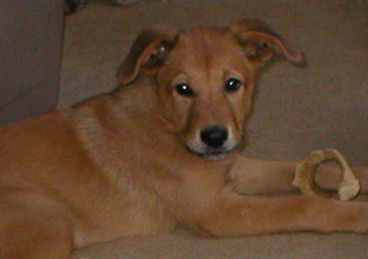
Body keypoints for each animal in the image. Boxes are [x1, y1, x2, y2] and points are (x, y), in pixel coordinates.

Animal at [0, 19, 368, 258]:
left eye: (232, 84)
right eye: (184, 88)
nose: (215, 137)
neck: (168, 125)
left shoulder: (233, 167)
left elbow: (311, 168)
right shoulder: (217, 210)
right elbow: (302, 205)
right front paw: (359, 215)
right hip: (47, 217)